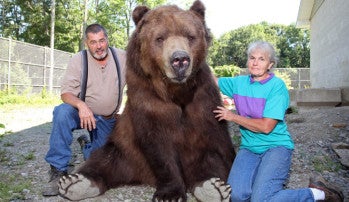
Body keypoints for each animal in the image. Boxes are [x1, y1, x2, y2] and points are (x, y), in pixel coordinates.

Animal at [57, 0, 234, 201]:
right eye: (160, 38)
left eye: (190, 36)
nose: (180, 60)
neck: (175, 91)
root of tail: (141, 176)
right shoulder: (147, 98)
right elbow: (157, 144)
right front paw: (169, 194)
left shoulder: (203, 99)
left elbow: (215, 146)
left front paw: (214, 184)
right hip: (126, 152)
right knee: (105, 159)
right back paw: (74, 182)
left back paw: (213, 188)